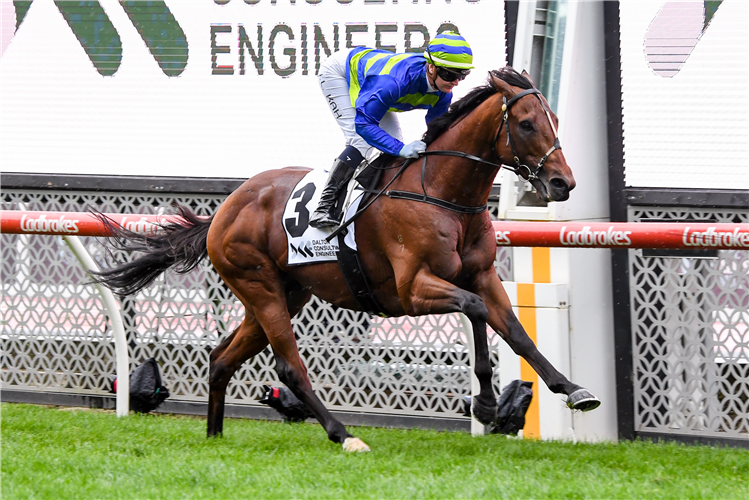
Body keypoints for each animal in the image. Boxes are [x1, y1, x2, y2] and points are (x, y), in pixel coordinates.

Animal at [95, 67, 596, 454]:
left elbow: (516, 333)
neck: (443, 194)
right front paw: (488, 405)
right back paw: (344, 435)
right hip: (261, 286)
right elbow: (474, 311)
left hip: (282, 294)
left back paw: (214, 436)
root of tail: (224, 209)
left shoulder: (484, 275)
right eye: (527, 124)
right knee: (289, 367)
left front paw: (573, 390)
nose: (562, 183)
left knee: (221, 357)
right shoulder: (413, 289)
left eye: (554, 119)